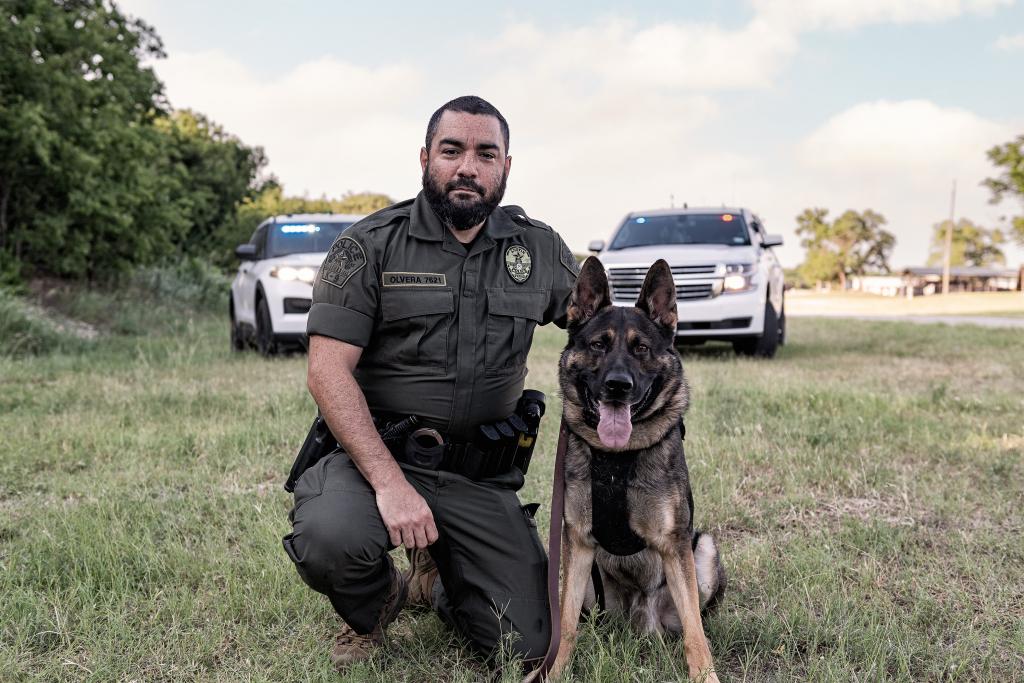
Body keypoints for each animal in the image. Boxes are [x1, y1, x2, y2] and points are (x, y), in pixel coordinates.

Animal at [548, 258, 724, 683]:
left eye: (641, 349)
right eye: (599, 345)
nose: (618, 385)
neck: (618, 458)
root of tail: (640, 619)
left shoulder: (675, 546)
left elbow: (695, 632)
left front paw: (705, 675)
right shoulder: (577, 544)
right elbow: (565, 624)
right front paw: (554, 672)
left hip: (704, 550)